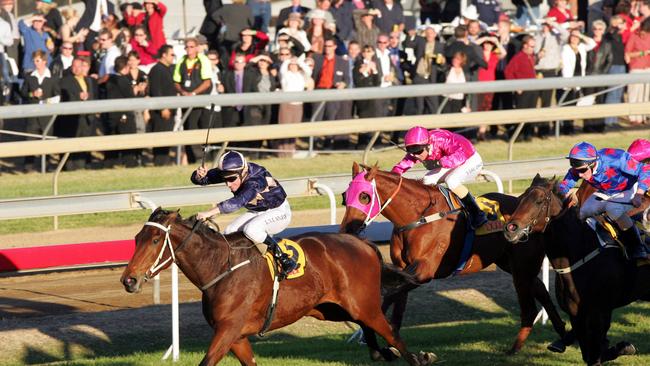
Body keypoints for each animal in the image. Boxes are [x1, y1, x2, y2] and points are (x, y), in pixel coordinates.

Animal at [121, 209, 436, 366]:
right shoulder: (237, 336)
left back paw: (418, 356)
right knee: (371, 333)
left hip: (364, 305)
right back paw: (383, 353)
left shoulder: (228, 330)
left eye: (154, 240)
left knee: (392, 334)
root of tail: (363, 243)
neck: (221, 268)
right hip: (331, 309)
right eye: (136, 237)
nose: (128, 280)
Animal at [340, 163, 568, 354]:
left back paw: (517, 347)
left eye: (364, 197)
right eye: (344, 195)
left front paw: (370, 332)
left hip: (522, 266)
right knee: (541, 288)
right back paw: (562, 334)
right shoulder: (403, 267)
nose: (347, 230)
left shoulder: (424, 271)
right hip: (511, 264)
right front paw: (390, 341)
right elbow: (397, 300)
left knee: (530, 306)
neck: (418, 217)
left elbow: (390, 294)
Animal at [502, 176, 648, 364]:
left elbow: (596, 353)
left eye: (539, 201)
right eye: (520, 199)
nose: (510, 228)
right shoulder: (576, 315)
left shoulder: (599, 313)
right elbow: (590, 353)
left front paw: (623, 347)